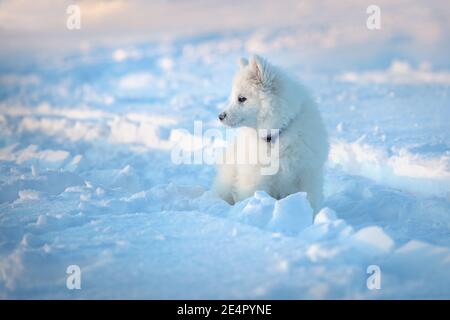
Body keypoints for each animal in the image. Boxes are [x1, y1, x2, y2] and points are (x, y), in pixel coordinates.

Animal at [213, 54, 328, 212]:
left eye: (241, 99)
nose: (220, 116)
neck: (276, 134)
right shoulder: (256, 178)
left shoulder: (307, 175)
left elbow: (310, 201)